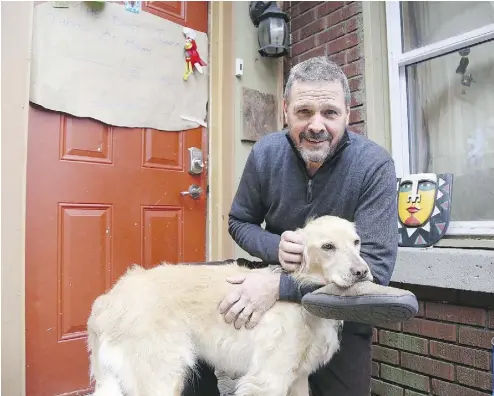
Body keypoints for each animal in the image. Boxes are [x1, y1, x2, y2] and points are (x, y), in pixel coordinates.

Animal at [86, 217, 370, 396]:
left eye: (356, 242)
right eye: (328, 246)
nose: (362, 272)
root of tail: (107, 299)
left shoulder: (298, 378)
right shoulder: (268, 380)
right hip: (161, 379)